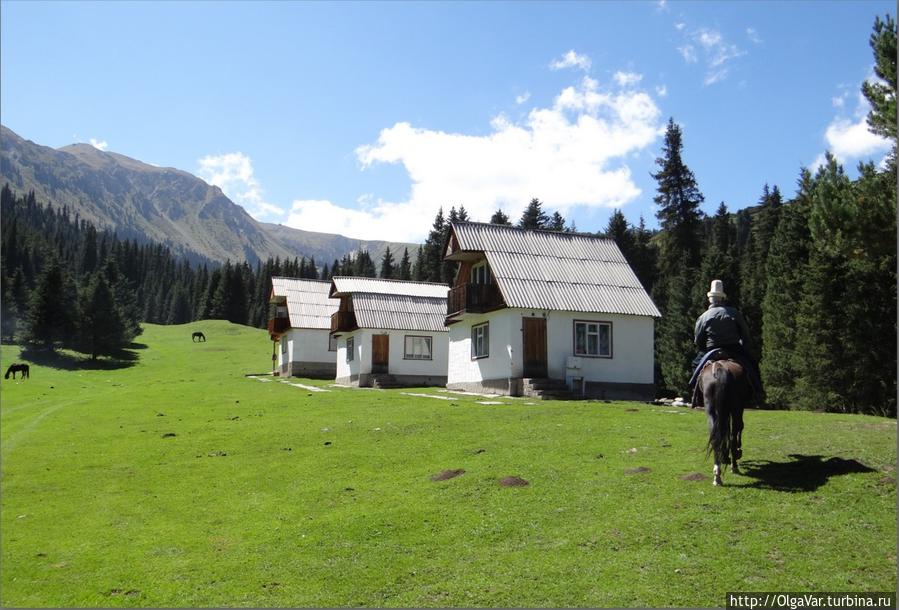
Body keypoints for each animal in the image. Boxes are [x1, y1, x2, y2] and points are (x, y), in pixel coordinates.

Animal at [700, 356, 748, 484]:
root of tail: (720, 369)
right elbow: (738, 428)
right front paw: (736, 453)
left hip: (712, 412)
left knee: (715, 438)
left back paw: (717, 475)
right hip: (736, 409)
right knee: (733, 436)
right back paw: (734, 466)